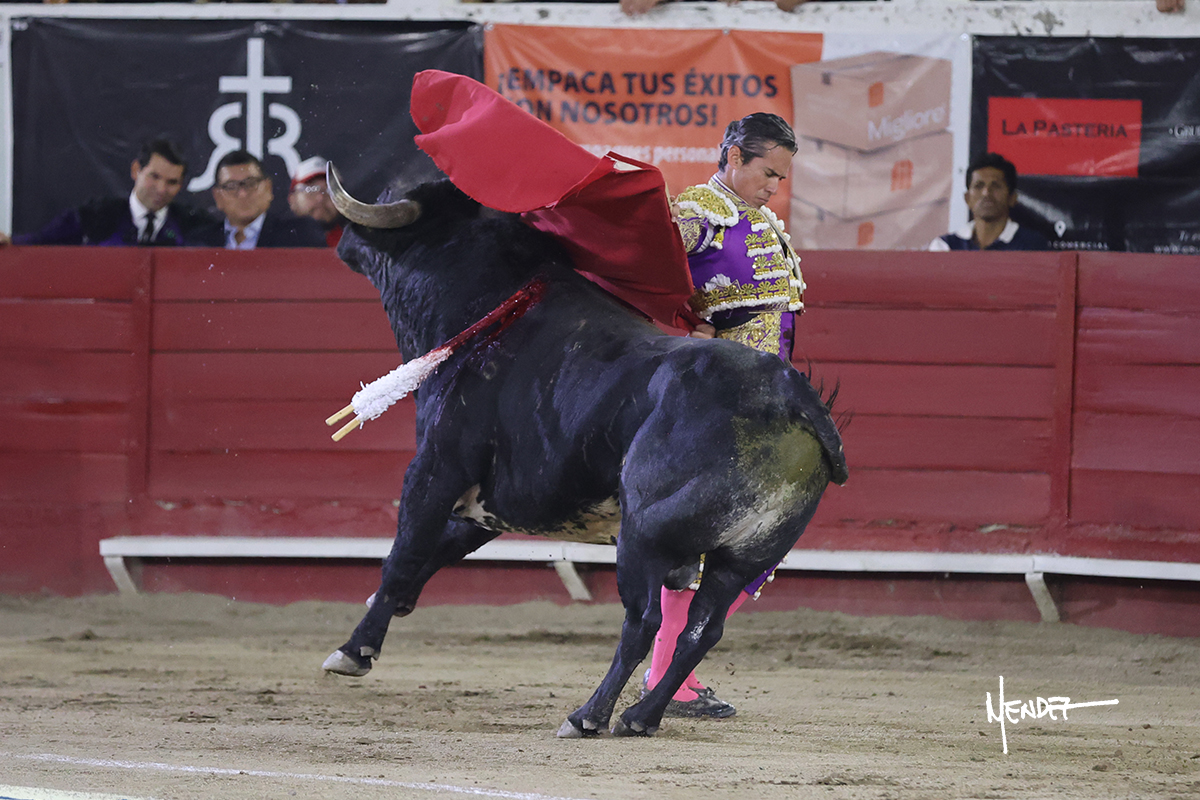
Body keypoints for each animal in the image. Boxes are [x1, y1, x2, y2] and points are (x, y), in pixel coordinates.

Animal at [319, 167, 848, 738]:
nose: (341, 241)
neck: (498, 303)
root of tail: (790, 394)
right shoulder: (496, 502)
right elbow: (432, 554)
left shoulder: (435, 469)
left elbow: (403, 556)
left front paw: (353, 651)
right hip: (745, 556)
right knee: (701, 632)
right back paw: (641, 716)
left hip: (645, 536)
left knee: (644, 621)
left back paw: (589, 716)